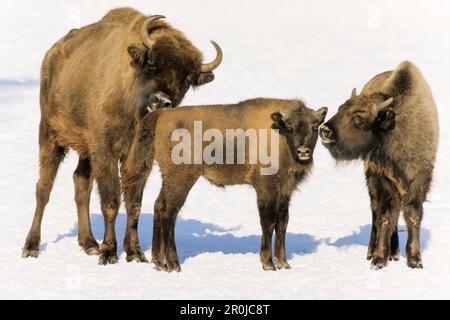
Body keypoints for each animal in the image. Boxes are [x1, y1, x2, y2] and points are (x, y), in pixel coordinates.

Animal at [22, 7, 223, 264]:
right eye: (152, 64)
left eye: (187, 79)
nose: (161, 100)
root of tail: (52, 55)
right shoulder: (105, 151)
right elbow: (111, 200)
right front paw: (109, 252)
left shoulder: (139, 158)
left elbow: (133, 203)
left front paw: (134, 252)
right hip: (50, 135)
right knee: (43, 188)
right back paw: (31, 246)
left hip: (85, 151)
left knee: (81, 183)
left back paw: (89, 243)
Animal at [123, 98, 326, 272]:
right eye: (290, 127)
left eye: (315, 126)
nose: (303, 151)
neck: (279, 135)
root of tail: (162, 116)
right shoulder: (265, 190)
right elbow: (268, 224)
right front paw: (268, 264)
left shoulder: (285, 192)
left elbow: (282, 225)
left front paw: (284, 263)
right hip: (181, 180)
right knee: (168, 213)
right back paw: (174, 265)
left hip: (170, 180)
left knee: (159, 207)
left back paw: (160, 263)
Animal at [320, 61, 440, 268]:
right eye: (340, 109)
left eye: (359, 117)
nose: (325, 130)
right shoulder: (381, 180)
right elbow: (384, 218)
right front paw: (378, 259)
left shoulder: (419, 180)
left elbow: (413, 216)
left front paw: (415, 260)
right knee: (377, 213)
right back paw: (375, 251)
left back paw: (396, 253)